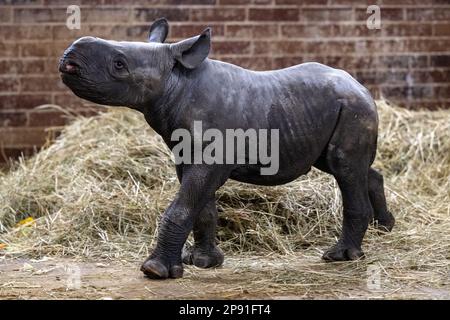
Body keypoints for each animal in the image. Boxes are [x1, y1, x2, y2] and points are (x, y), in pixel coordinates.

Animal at [59, 17, 394, 278]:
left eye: (119, 64)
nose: (69, 57)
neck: (176, 80)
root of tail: (362, 87)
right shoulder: (187, 153)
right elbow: (201, 207)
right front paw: (203, 262)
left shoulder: (210, 158)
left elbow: (183, 206)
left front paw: (155, 271)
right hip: (331, 109)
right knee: (350, 168)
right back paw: (385, 229)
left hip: (353, 108)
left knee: (344, 168)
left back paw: (339, 257)